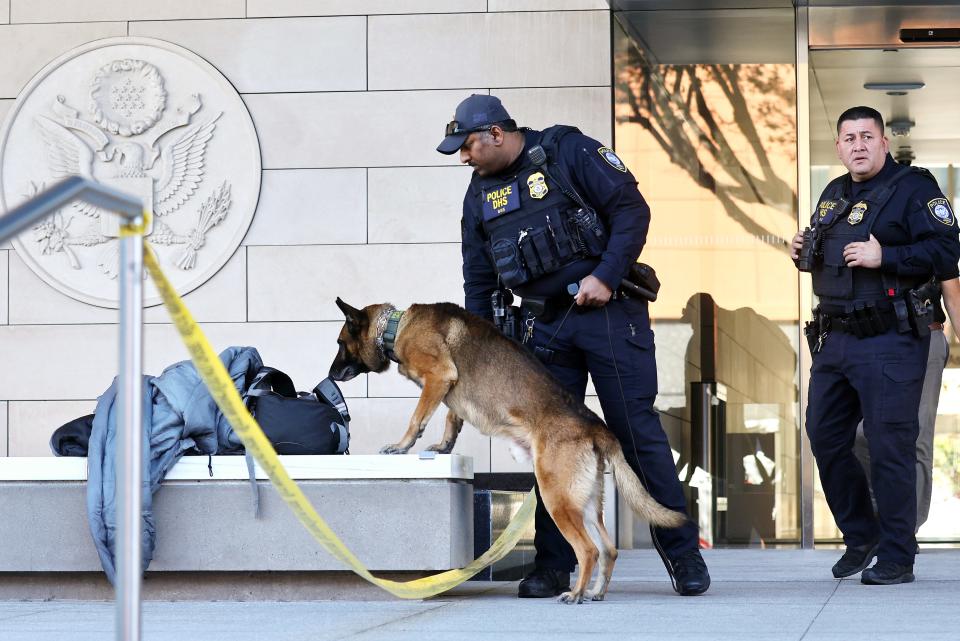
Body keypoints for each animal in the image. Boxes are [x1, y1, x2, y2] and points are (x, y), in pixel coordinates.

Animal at [332, 298, 688, 604]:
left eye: (339, 343)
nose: (330, 375)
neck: (395, 325)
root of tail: (596, 427)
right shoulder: (450, 391)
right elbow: (451, 417)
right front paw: (444, 445)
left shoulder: (438, 377)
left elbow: (418, 416)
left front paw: (401, 445)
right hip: (584, 501)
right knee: (609, 549)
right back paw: (596, 592)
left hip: (556, 497)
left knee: (589, 550)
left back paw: (576, 594)